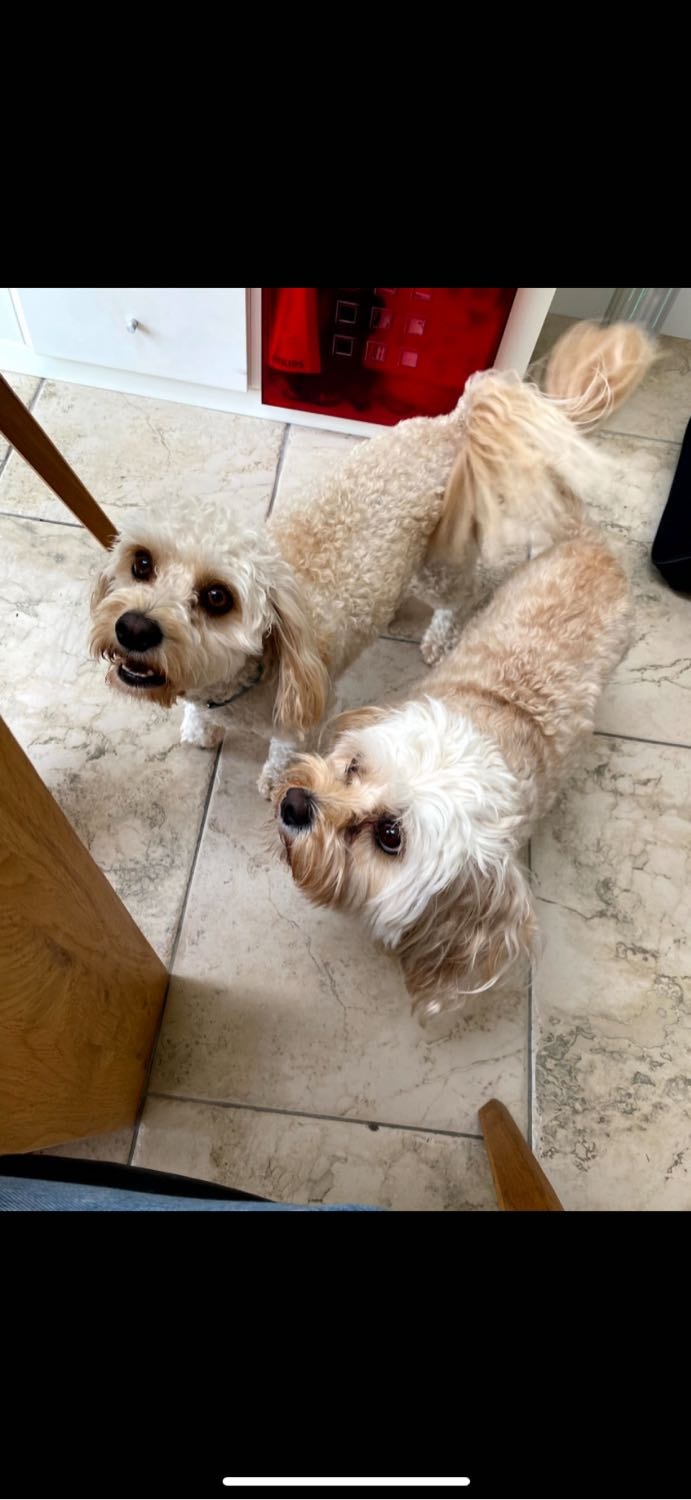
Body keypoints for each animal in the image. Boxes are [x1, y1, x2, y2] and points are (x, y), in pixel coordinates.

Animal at [89, 320, 653, 796]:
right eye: (142, 563)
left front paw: (274, 780)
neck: (256, 668)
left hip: (438, 565)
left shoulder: (305, 717)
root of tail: (454, 420)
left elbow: (283, 755)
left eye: (216, 597)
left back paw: (440, 637)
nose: (133, 628)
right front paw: (198, 728)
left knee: (461, 596)